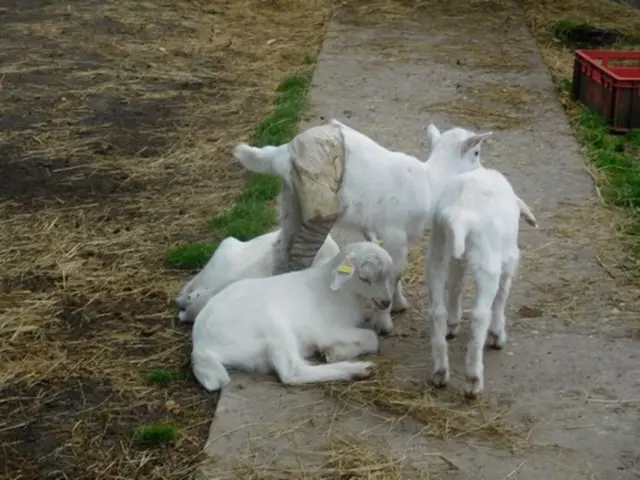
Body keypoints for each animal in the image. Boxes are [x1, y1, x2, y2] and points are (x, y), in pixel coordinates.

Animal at [191, 241, 395, 391]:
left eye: (388, 276)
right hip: (272, 328)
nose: (386, 302)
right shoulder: (327, 330)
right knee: (292, 373)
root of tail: (201, 347)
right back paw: (359, 369)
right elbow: (372, 338)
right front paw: (336, 352)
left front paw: (335, 352)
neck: (339, 293)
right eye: (364, 278)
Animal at [426, 166, 537, 398]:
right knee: (479, 315)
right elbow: (502, 295)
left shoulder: (458, 260)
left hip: (437, 251)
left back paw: (440, 371)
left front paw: (453, 323)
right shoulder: (509, 259)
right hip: (488, 263)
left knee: (437, 310)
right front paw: (497, 335)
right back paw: (473, 379)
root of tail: (459, 214)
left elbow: (457, 286)